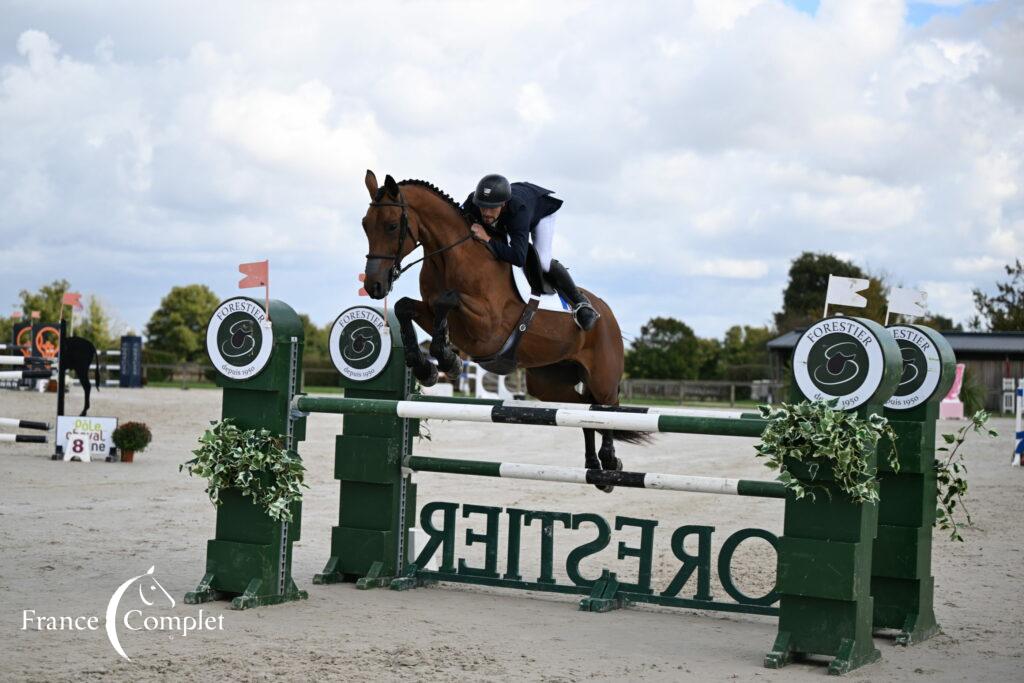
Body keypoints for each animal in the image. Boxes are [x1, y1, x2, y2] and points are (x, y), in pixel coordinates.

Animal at [360, 172, 647, 491]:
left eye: (391, 225)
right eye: (365, 224)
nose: (374, 286)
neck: (452, 256)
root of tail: (607, 313)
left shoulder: (490, 326)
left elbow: (448, 299)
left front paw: (447, 359)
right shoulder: (431, 311)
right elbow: (404, 307)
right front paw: (426, 368)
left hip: (602, 376)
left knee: (607, 410)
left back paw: (609, 464)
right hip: (550, 382)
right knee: (584, 413)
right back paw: (593, 467)